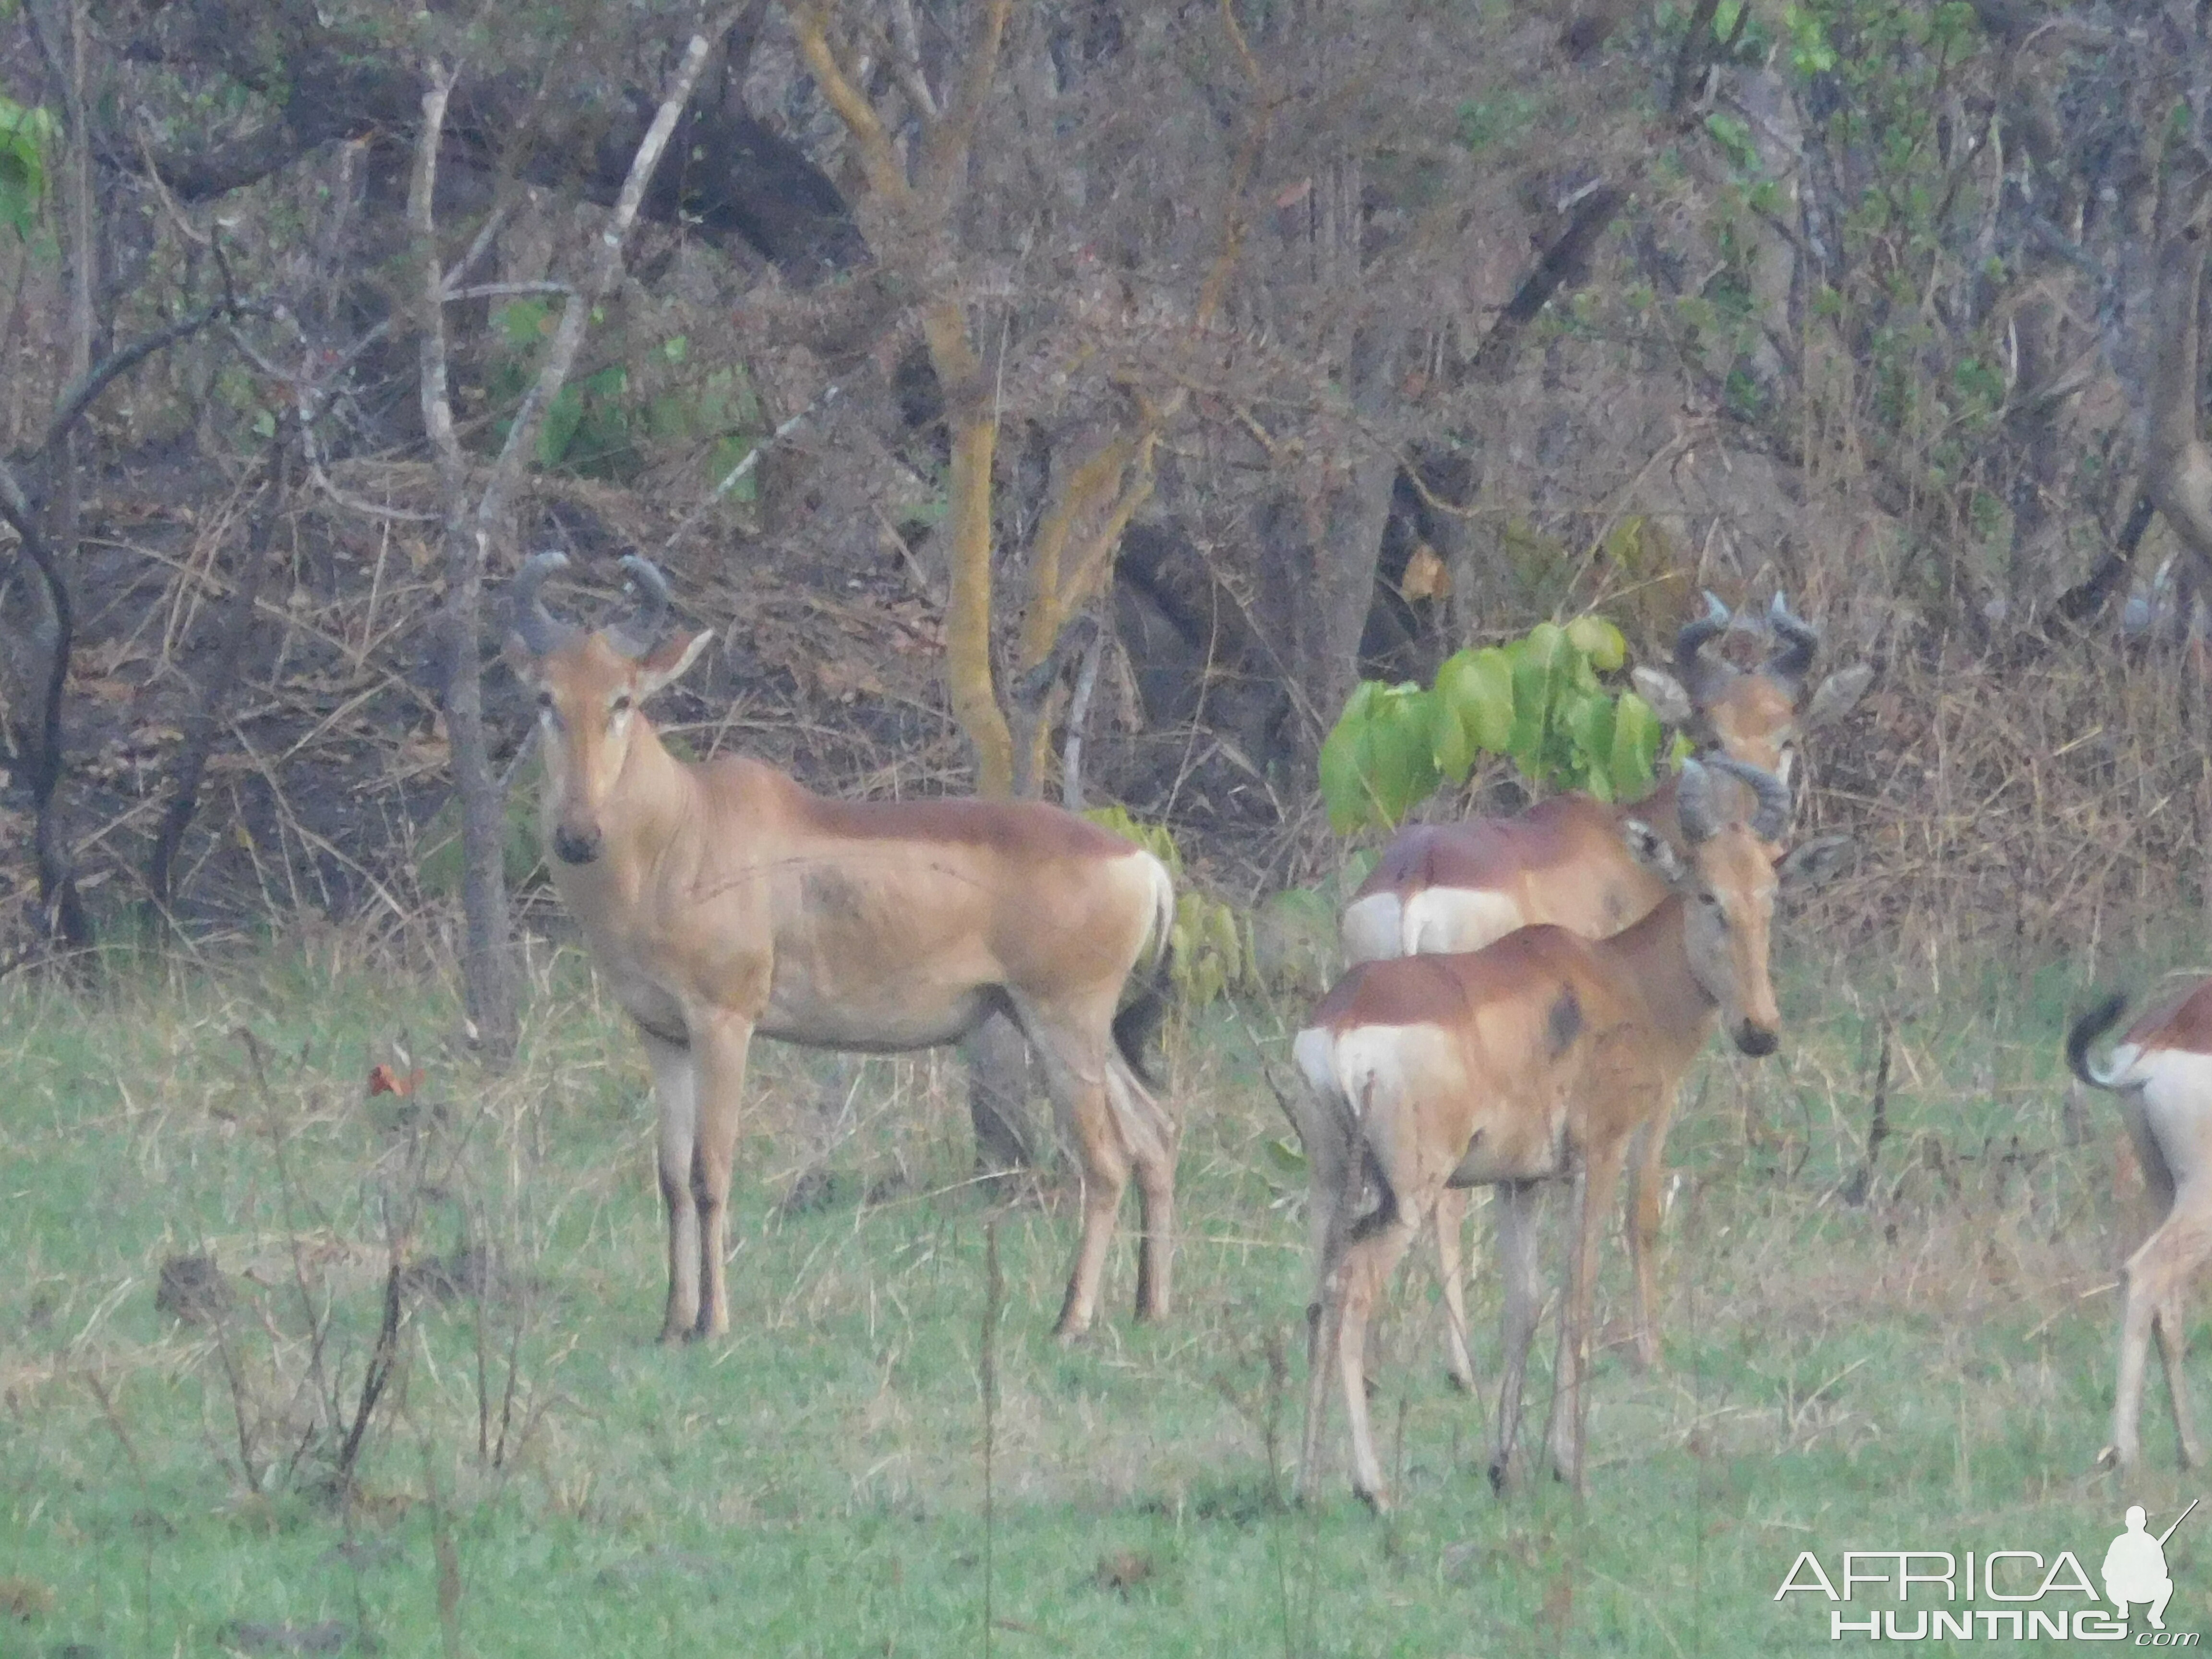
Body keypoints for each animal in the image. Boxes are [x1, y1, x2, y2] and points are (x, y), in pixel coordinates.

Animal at [508, 559, 1185, 1354]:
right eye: (545, 698)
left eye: (622, 699)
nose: (578, 836)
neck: (686, 824)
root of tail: (1143, 863)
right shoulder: (662, 1033)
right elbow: (671, 1175)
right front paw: (673, 1322)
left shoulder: (724, 1022)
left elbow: (712, 1170)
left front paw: (713, 1323)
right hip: (1063, 1024)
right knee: (1155, 1137)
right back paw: (1150, 1308)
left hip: (1063, 1022)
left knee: (1106, 1162)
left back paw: (1070, 1320)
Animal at [1292, 761, 1840, 1513]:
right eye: (1706, 893)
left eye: (1771, 895)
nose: (1759, 1031)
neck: (1614, 977)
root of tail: (1347, 1019)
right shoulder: (1598, 1155)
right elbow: (1577, 1298)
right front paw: (1567, 1464)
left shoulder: (1518, 1182)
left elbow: (1524, 1306)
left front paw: (1504, 1465)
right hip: (1409, 1191)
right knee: (1353, 1293)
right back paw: (1372, 1488)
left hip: (1329, 1182)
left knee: (1319, 1297)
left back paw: (1304, 1483)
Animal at [1345, 597, 1867, 1389]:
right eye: (1708, 733)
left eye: (1786, 734)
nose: (1750, 837)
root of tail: (1416, 878)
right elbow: (1639, 1204)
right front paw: (1648, 1350)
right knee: (1444, 1204)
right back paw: (1462, 1365)